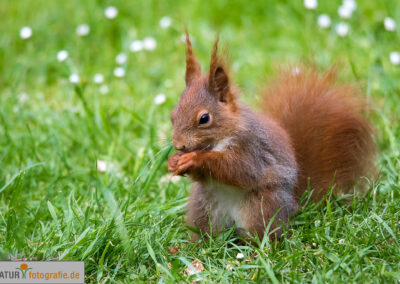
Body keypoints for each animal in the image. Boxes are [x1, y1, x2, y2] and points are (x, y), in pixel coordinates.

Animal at [167, 33, 376, 242]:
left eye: (204, 118)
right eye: (172, 114)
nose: (179, 145)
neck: (217, 142)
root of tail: (293, 203)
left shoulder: (252, 148)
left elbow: (240, 170)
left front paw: (195, 159)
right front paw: (173, 161)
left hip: (262, 206)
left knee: (263, 235)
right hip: (203, 206)